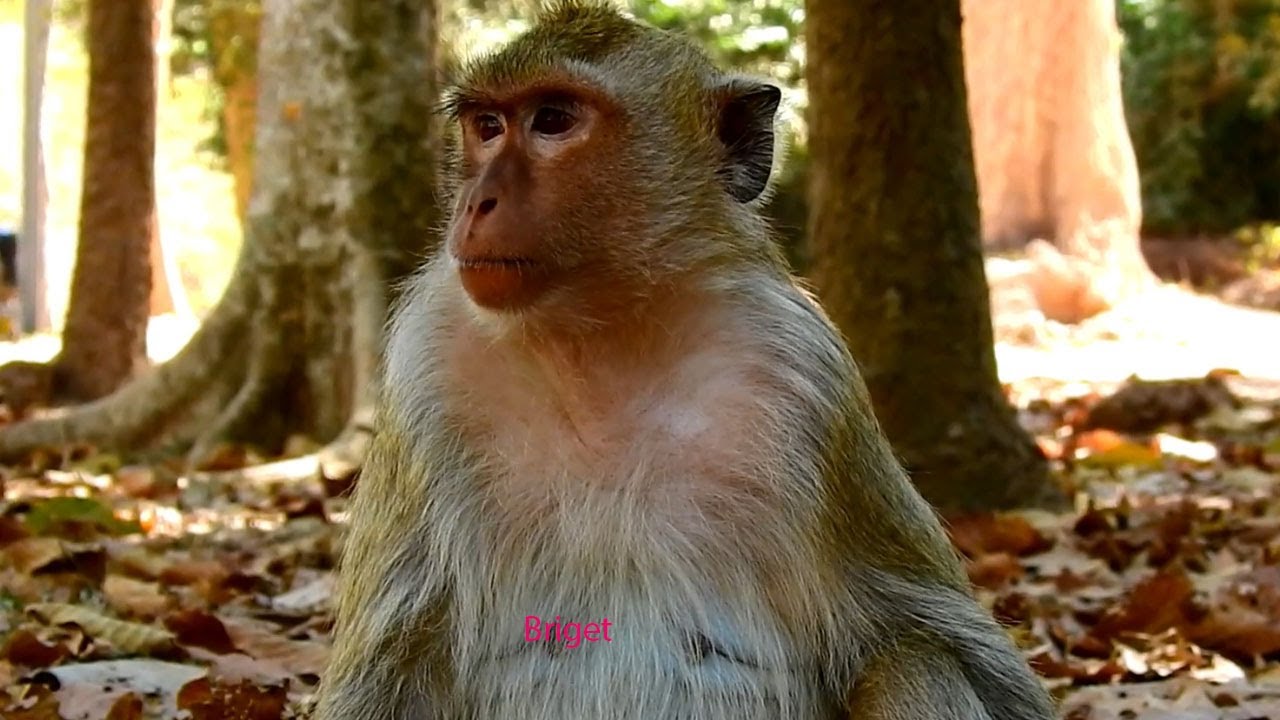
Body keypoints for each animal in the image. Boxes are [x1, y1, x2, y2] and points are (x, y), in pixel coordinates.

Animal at [313, 2, 1058, 719]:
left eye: (553, 120)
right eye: (487, 126)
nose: (476, 202)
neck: (601, 346)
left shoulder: (809, 375)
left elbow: (956, 646)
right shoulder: (425, 366)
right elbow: (379, 671)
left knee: (912, 661)